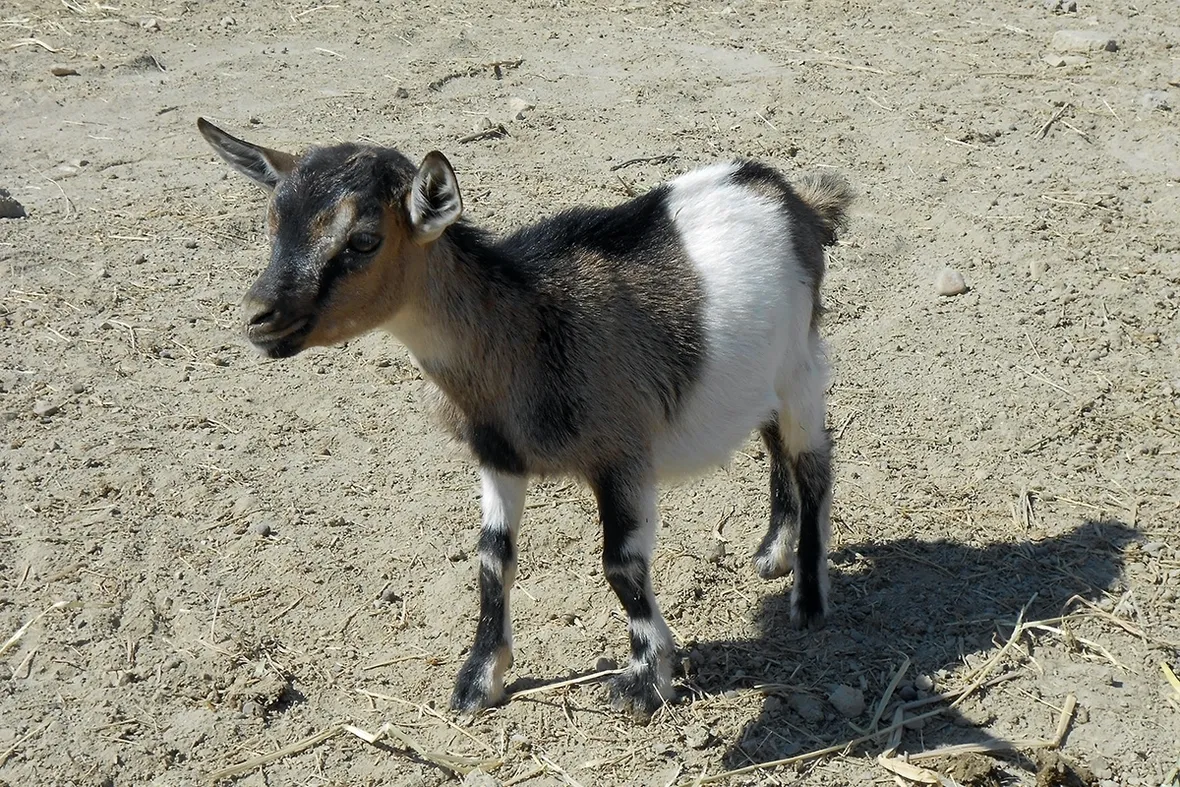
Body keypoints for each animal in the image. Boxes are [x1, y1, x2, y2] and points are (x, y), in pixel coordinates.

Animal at [196, 117, 852, 718]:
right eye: (272, 223)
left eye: (362, 240)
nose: (259, 317)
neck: (529, 325)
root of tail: (793, 198)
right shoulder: (499, 457)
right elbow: (492, 559)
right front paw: (478, 680)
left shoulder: (621, 453)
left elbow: (621, 564)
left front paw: (646, 681)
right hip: (757, 376)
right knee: (772, 440)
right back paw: (772, 551)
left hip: (800, 360)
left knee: (813, 460)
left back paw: (810, 600)